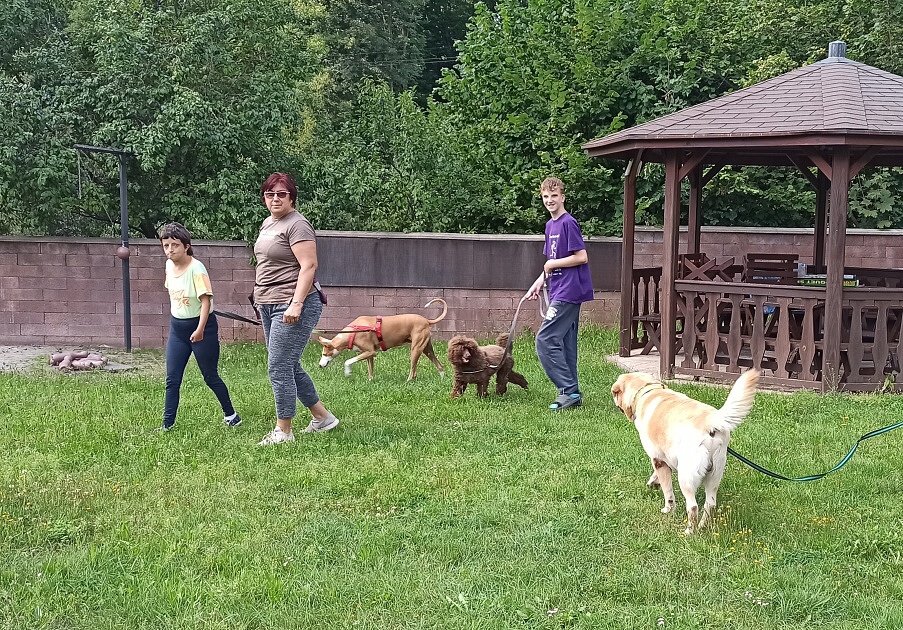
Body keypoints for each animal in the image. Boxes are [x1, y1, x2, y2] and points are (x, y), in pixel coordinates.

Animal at [317, 298, 447, 381]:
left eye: (324, 354)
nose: (319, 366)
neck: (353, 332)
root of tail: (426, 320)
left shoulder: (370, 352)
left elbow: (347, 361)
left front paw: (347, 372)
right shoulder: (369, 354)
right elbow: (370, 370)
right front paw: (370, 381)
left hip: (415, 349)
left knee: (413, 370)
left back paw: (408, 381)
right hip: (427, 349)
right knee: (439, 364)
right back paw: (442, 378)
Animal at [610, 369, 760, 535]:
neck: (647, 392)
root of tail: (710, 421)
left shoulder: (657, 459)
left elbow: (667, 491)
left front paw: (668, 509)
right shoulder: (664, 458)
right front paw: (652, 482)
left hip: (686, 476)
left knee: (693, 506)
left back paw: (689, 531)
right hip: (715, 474)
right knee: (710, 504)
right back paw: (702, 527)